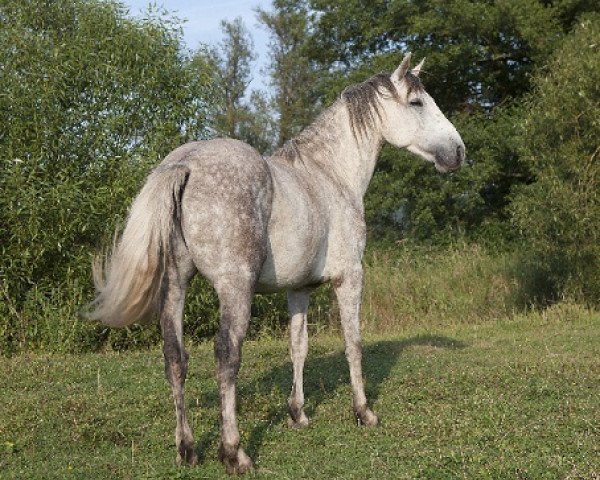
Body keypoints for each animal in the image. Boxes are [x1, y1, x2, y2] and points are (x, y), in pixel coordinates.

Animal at [89, 54, 464, 474]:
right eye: (417, 103)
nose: (458, 152)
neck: (329, 175)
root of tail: (185, 164)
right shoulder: (350, 277)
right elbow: (353, 343)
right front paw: (364, 412)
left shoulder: (298, 289)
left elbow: (298, 346)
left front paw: (297, 413)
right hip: (235, 288)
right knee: (226, 357)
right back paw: (235, 453)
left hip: (176, 285)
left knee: (175, 358)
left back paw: (187, 449)